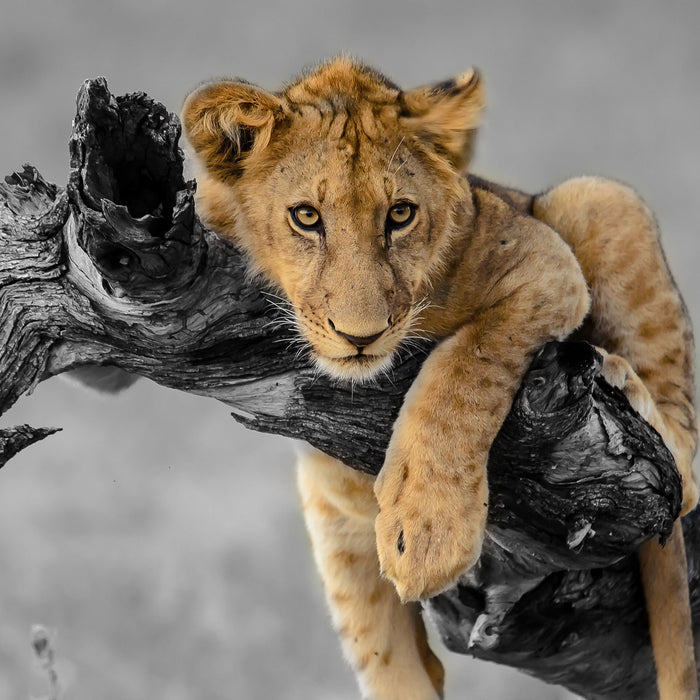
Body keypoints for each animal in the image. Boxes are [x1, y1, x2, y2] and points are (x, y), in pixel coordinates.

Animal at [183, 60, 696, 700]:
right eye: (306, 217)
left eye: (400, 215)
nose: (360, 336)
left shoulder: (546, 268)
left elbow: (463, 374)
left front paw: (427, 532)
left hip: (597, 199)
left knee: (685, 467)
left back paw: (617, 374)